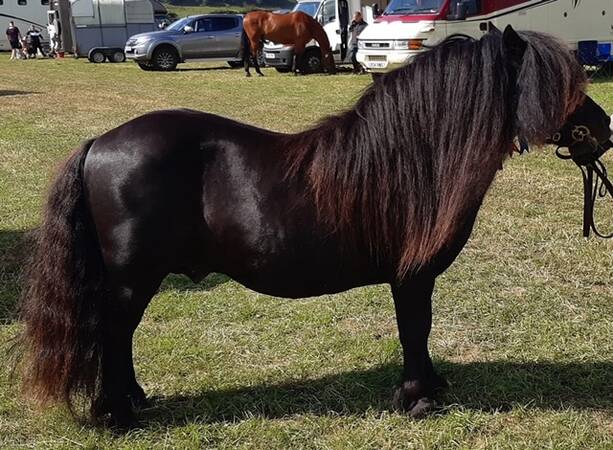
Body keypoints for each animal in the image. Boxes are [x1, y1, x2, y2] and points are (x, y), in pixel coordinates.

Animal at [17, 26, 608, 428]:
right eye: (558, 83)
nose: (604, 127)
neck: (415, 157)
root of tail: (100, 143)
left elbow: (420, 331)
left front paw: (433, 386)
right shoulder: (411, 277)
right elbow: (415, 329)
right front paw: (418, 398)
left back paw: (134, 401)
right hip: (131, 281)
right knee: (113, 335)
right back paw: (118, 413)